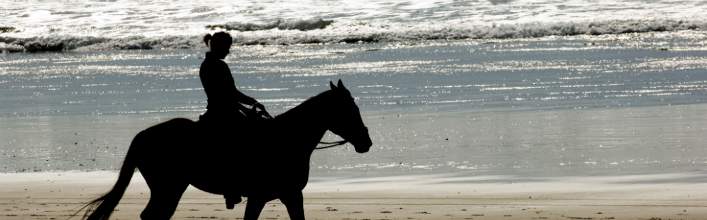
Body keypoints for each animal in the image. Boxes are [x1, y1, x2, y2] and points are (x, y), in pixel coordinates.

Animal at [80, 80, 374, 219]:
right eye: (350, 109)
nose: (366, 142)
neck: (287, 139)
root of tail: (142, 135)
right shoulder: (269, 195)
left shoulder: (286, 196)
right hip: (169, 188)